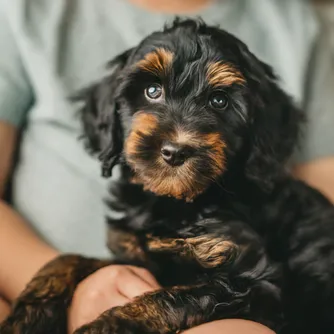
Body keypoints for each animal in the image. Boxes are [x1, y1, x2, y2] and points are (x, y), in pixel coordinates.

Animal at [1, 17, 334, 334]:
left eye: (219, 101)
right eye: (152, 91)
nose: (175, 151)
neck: (175, 202)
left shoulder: (259, 283)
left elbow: (171, 297)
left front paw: (103, 327)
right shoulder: (130, 255)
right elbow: (71, 259)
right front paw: (26, 316)